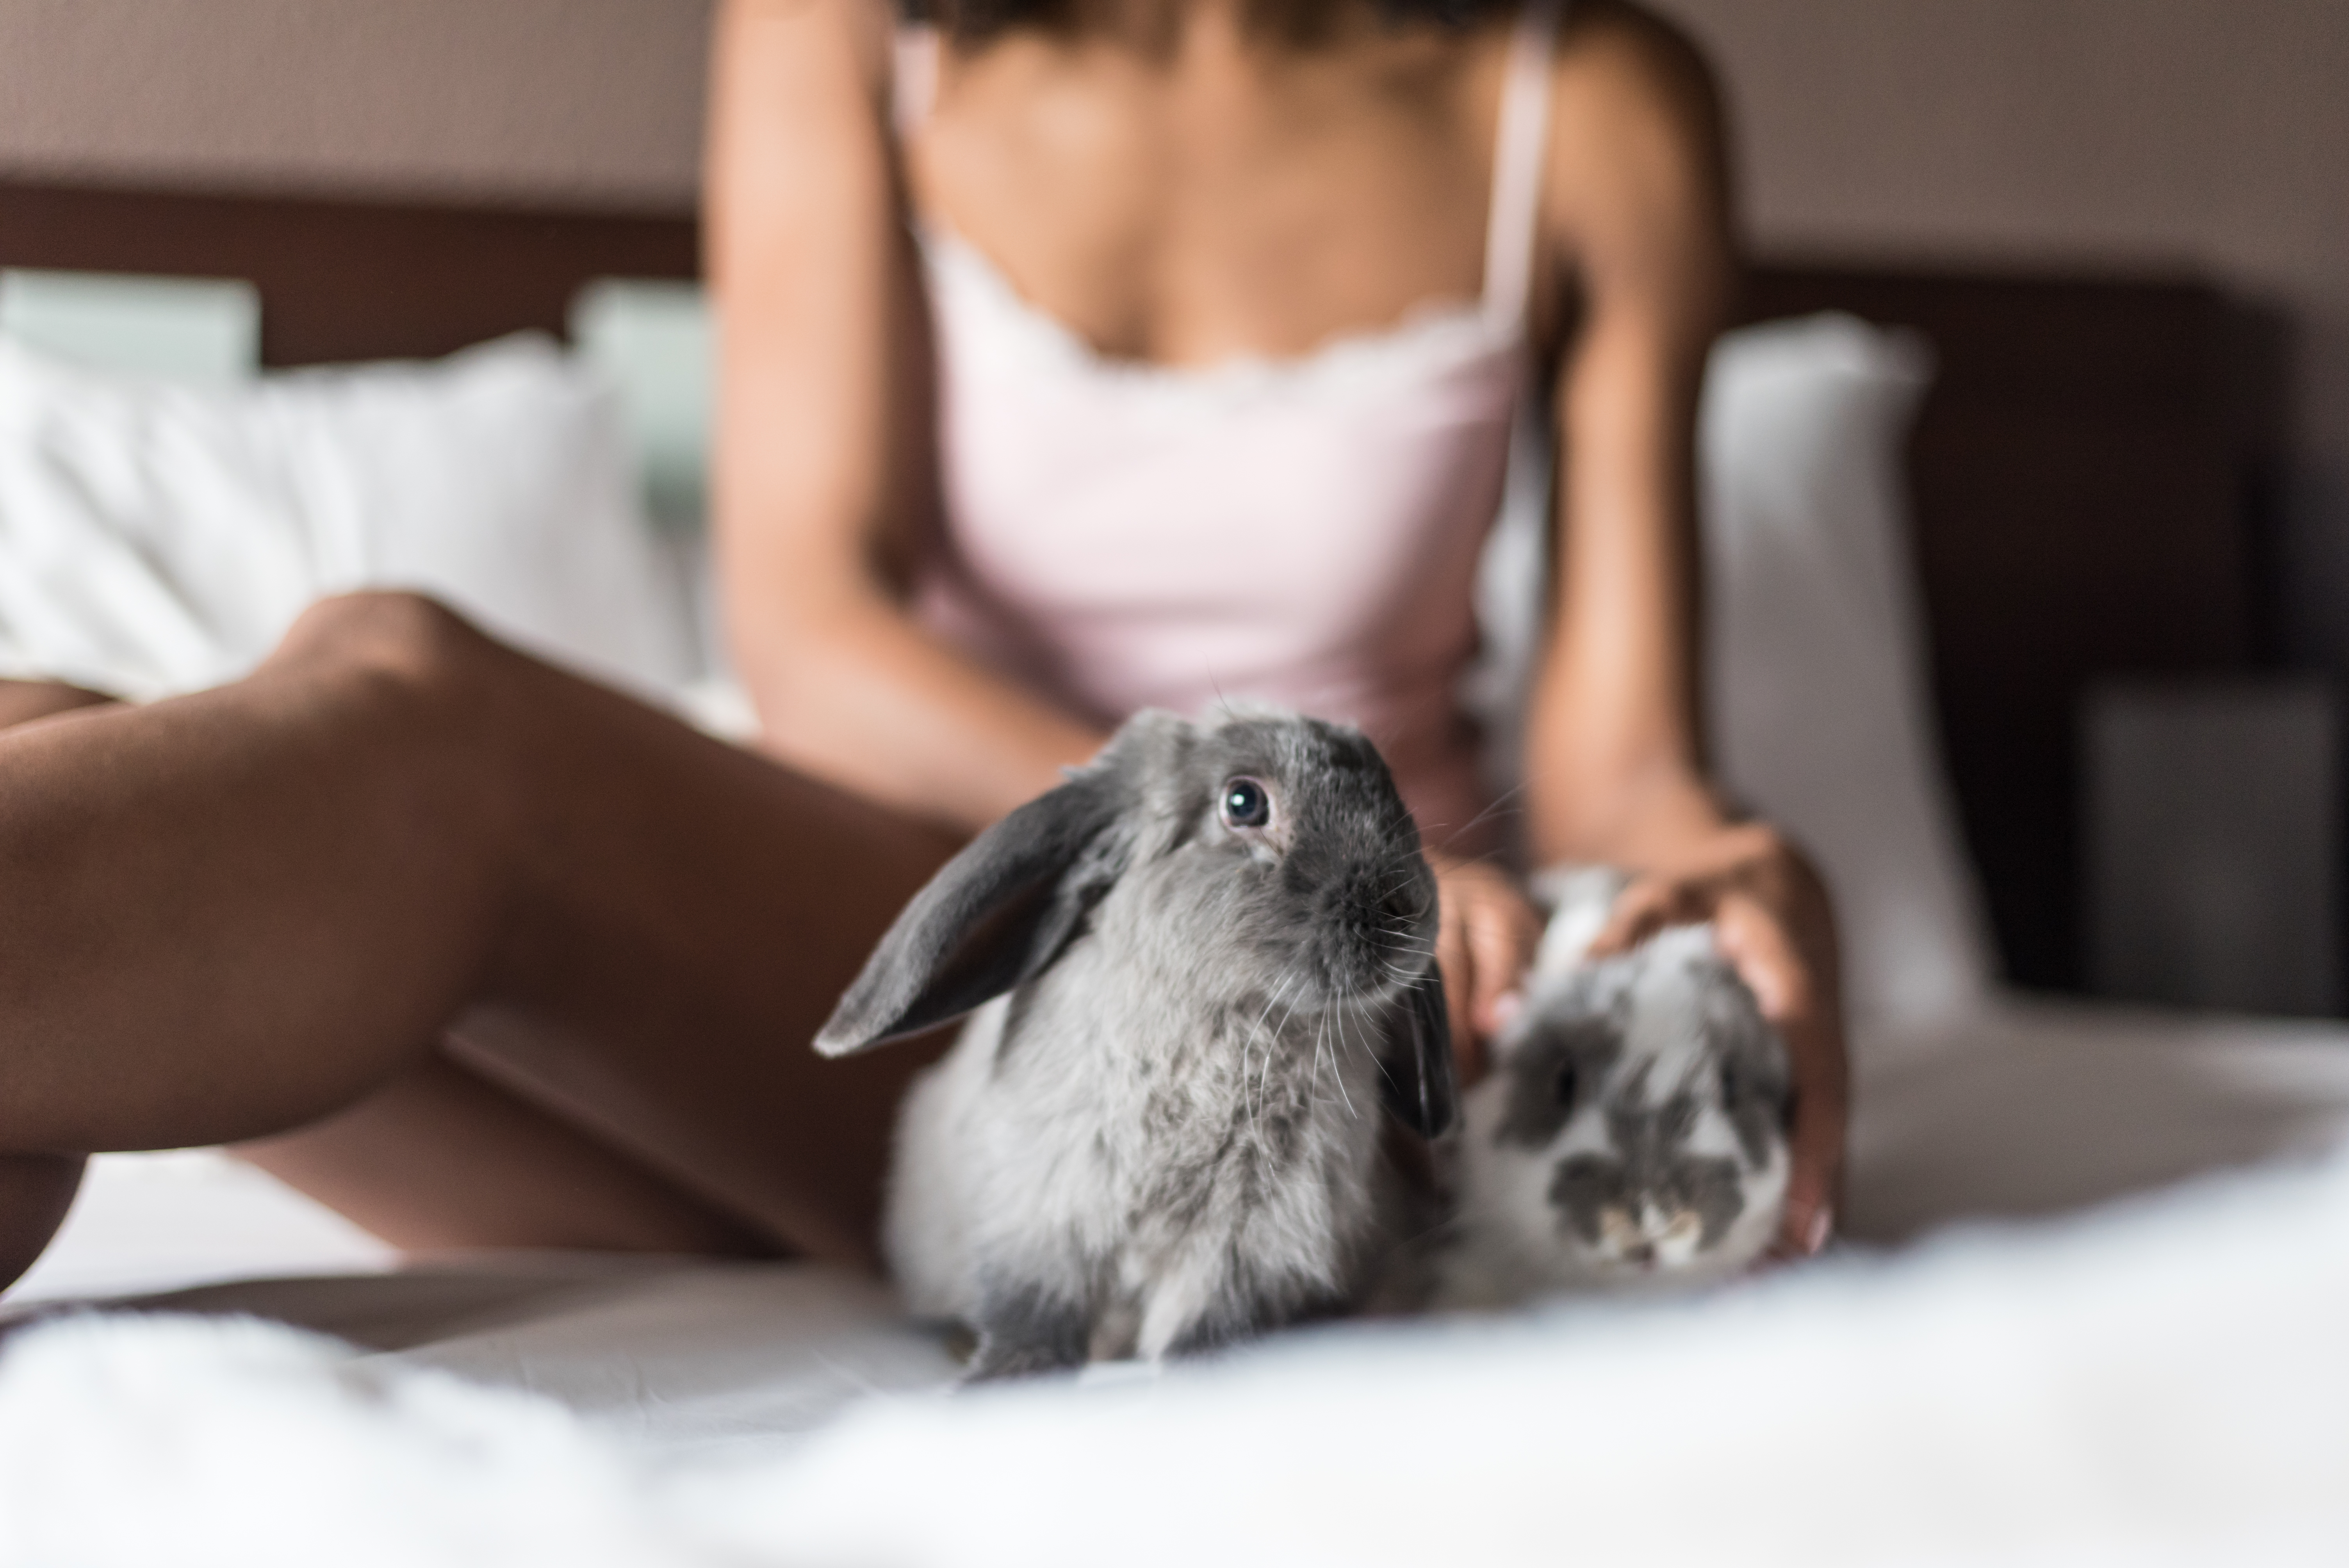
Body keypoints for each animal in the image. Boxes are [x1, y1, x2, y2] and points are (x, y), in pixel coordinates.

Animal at [815, 707, 1455, 1379]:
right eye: (1244, 802)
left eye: (1394, 793)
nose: (1409, 905)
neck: (1232, 1015)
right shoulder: (1044, 1211)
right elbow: (1033, 1310)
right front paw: (1003, 1378)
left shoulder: (1249, 1243)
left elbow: (1205, 1323)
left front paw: (1198, 1375)